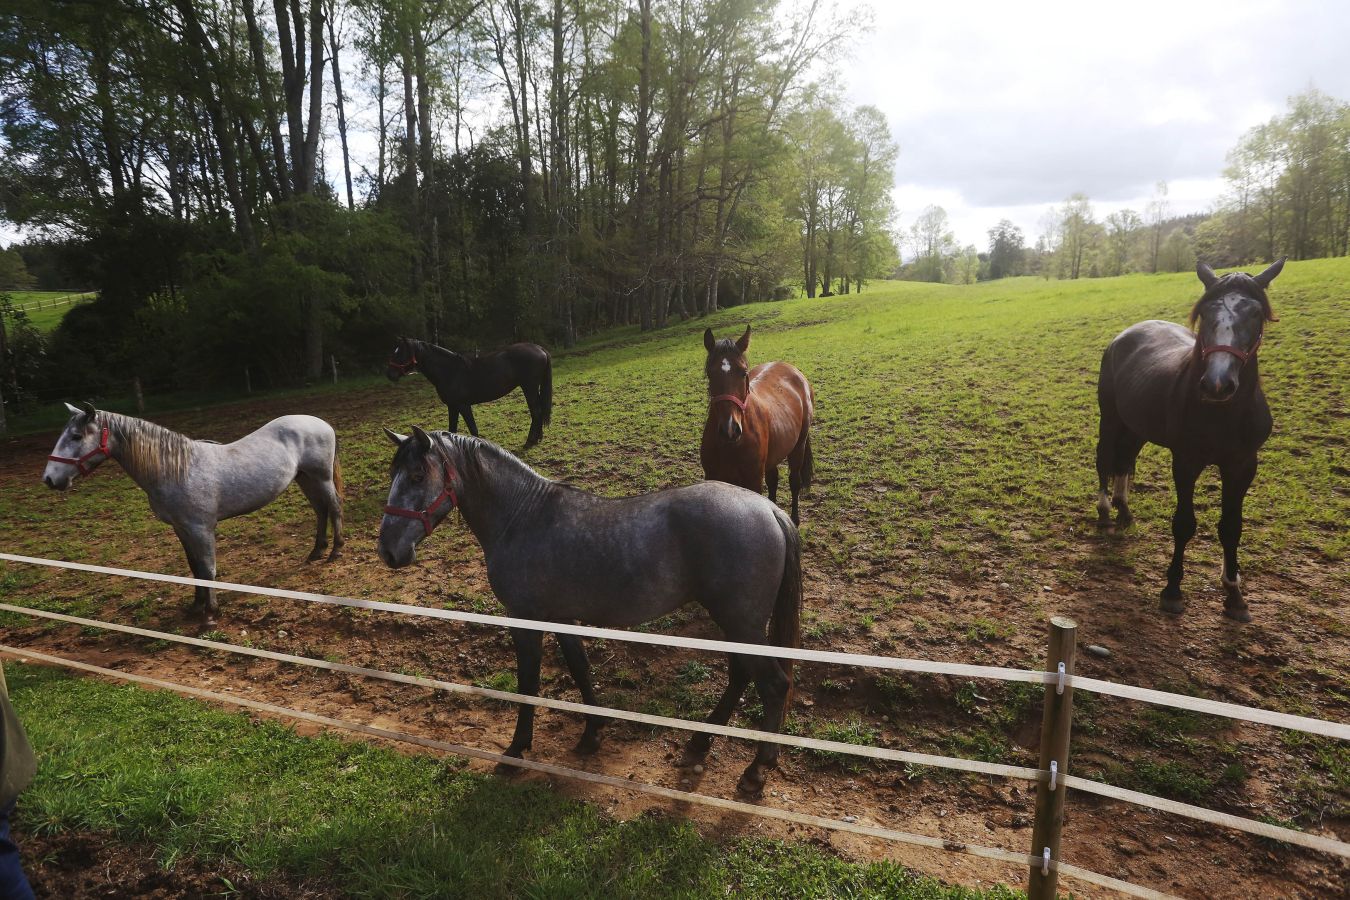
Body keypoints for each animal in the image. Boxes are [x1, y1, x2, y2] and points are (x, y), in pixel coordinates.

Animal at [44, 404, 345, 623]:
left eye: (76, 436)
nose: (50, 479)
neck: (176, 469)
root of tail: (321, 422)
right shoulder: (181, 528)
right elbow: (194, 567)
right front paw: (196, 606)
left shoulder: (201, 528)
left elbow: (207, 568)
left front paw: (210, 613)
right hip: (304, 478)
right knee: (320, 510)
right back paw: (316, 551)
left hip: (321, 477)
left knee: (334, 508)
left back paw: (335, 551)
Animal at [378, 429, 799, 793]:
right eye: (393, 474)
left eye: (417, 475)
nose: (389, 551)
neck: (522, 517)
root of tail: (769, 509)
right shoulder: (562, 618)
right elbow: (580, 668)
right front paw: (592, 733)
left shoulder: (525, 620)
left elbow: (528, 684)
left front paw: (516, 750)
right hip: (736, 622)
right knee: (741, 676)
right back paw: (701, 741)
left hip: (741, 622)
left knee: (773, 685)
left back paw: (756, 770)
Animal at [702, 325, 815, 523]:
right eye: (710, 373)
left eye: (743, 373)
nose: (729, 429)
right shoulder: (713, 478)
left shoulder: (753, 480)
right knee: (773, 480)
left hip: (798, 447)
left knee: (794, 481)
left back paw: (795, 519)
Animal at [1090, 260, 1279, 623]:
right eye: (1205, 312)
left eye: (1255, 313)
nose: (1218, 383)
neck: (1223, 413)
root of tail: (1126, 334)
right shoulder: (1186, 461)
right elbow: (1184, 524)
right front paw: (1172, 590)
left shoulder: (1243, 465)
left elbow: (1231, 527)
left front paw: (1235, 594)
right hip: (1112, 418)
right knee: (1106, 457)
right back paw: (1106, 509)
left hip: (1138, 426)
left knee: (1125, 459)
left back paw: (1123, 508)